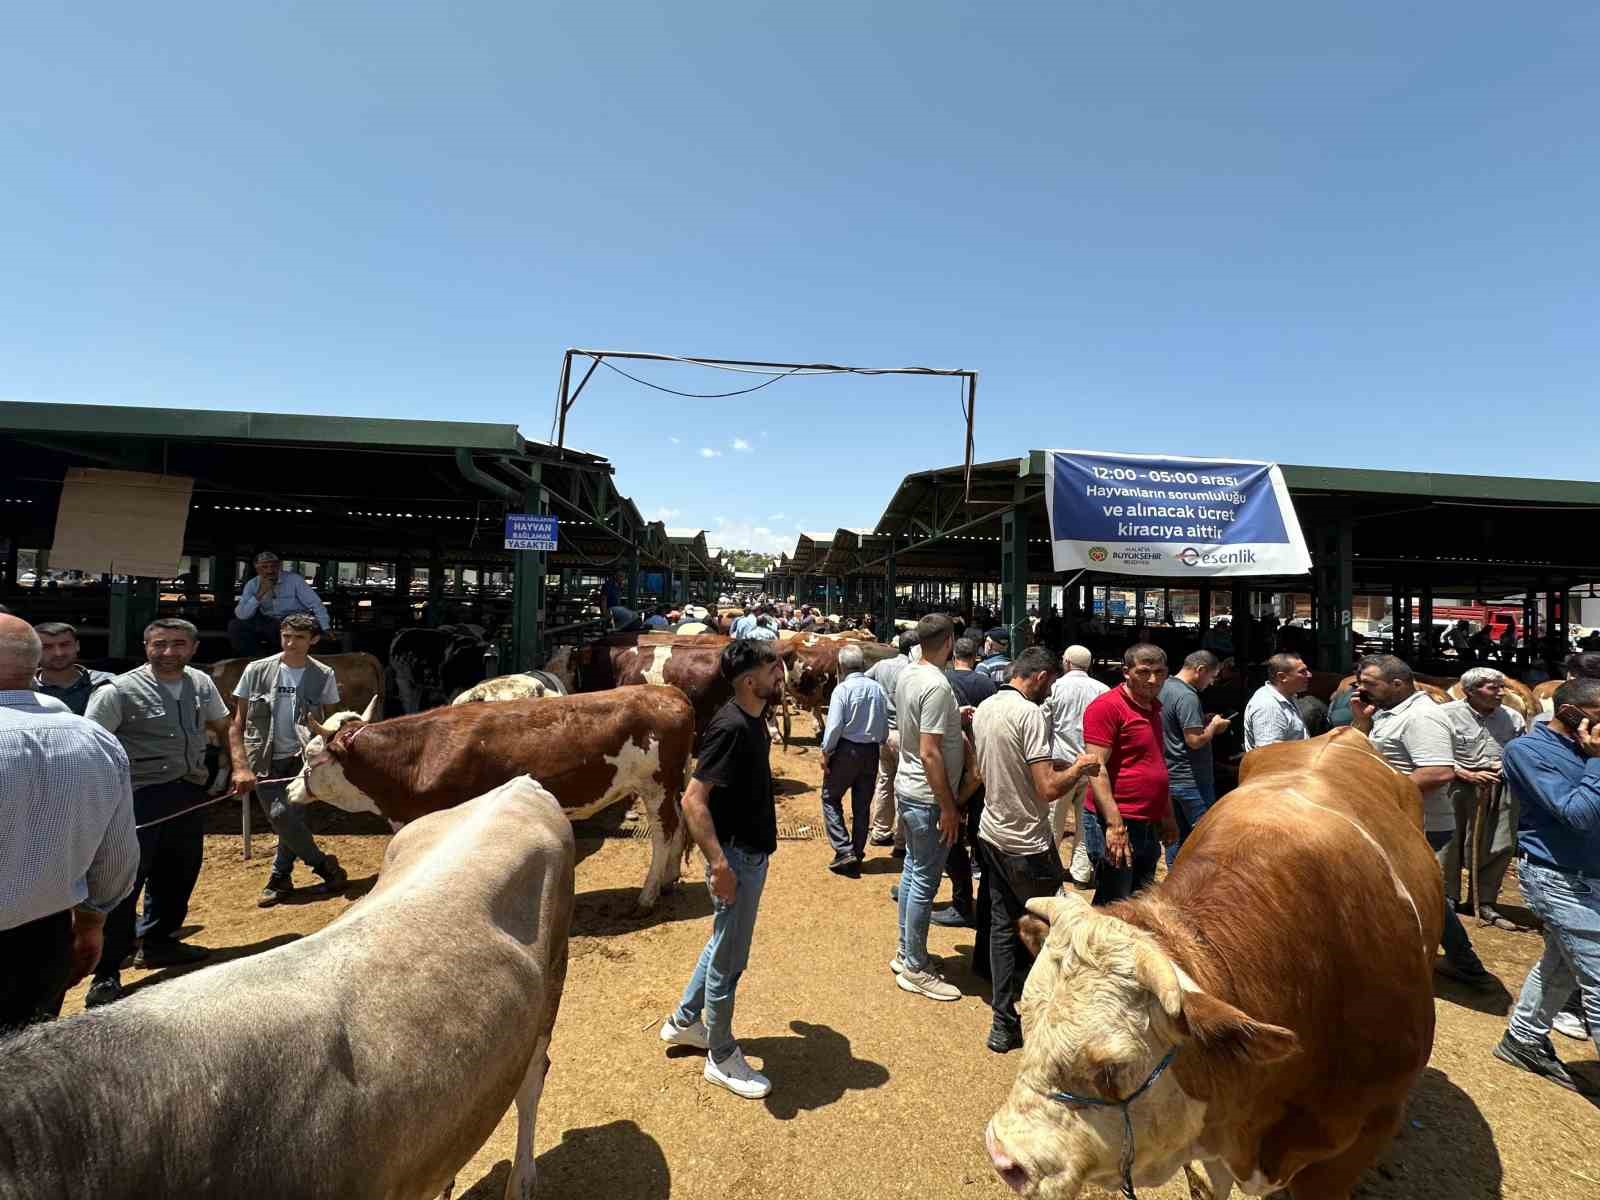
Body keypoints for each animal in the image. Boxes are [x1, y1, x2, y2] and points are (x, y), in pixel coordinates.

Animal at [291, 684, 691, 908]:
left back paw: (648, 894)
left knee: (664, 833)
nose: (289, 789)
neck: (418, 756)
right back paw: (668, 881)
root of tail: (669, 693)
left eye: (309, 755)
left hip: (656, 785)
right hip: (668, 786)